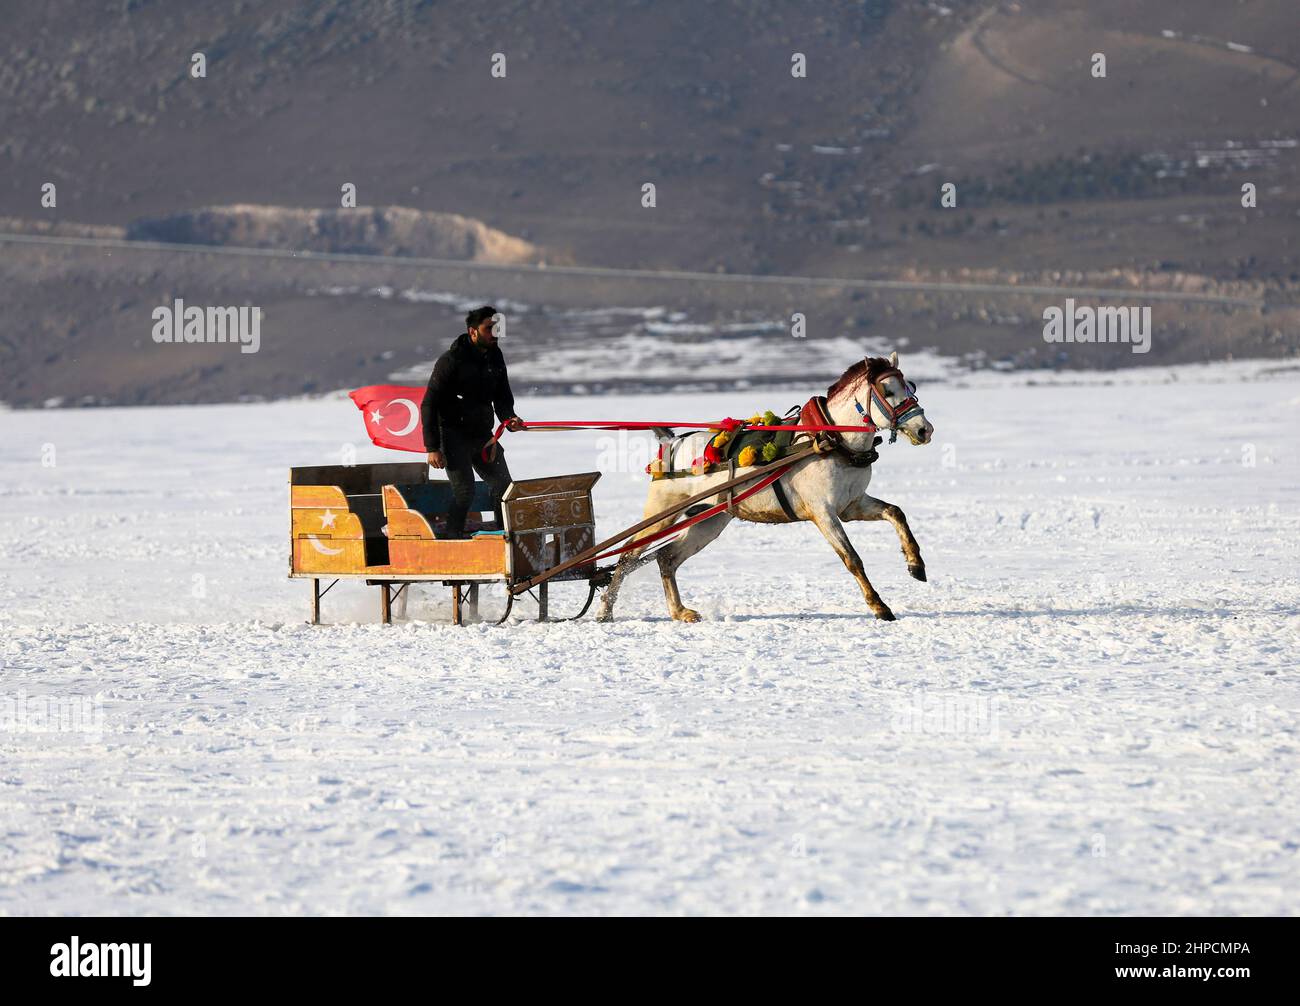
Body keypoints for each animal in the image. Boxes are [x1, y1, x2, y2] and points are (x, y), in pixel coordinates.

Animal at [598, 353, 935, 621]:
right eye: (887, 391)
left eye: (911, 387)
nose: (925, 429)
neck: (830, 440)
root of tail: (671, 443)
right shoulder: (823, 513)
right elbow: (852, 559)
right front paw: (880, 607)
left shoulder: (852, 505)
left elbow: (896, 512)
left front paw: (915, 565)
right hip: (663, 512)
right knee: (628, 557)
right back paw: (605, 610)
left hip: (709, 520)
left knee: (667, 557)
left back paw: (680, 612)